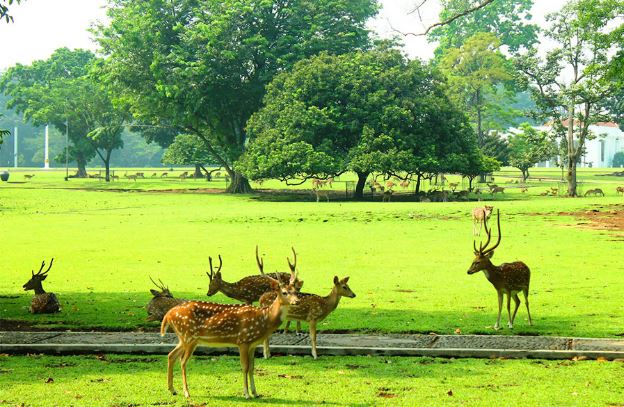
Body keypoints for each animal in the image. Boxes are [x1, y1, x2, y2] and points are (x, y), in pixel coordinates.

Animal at [160, 262, 298, 402]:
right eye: (284, 292)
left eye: (296, 291)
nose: (297, 301)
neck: (264, 319)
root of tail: (168, 314)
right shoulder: (243, 341)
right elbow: (244, 367)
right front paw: (246, 394)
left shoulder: (253, 344)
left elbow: (252, 367)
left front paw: (255, 393)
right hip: (189, 336)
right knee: (182, 361)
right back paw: (186, 392)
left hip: (183, 338)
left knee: (171, 355)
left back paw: (172, 389)